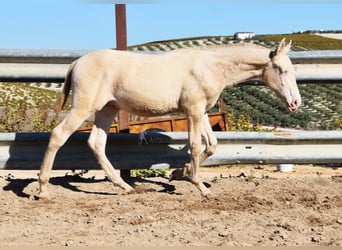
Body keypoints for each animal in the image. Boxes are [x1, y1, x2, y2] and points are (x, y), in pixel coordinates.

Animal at [36, 37, 300, 198]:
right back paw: (42, 188)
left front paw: (178, 173)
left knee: (96, 143)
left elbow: (212, 145)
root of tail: (77, 62)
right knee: (58, 135)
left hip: (107, 109)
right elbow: (195, 145)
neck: (210, 66)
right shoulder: (193, 110)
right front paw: (201, 187)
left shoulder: (202, 111)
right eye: (283, 70)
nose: (295, 103)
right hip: (84, 107)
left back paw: (124, 186)